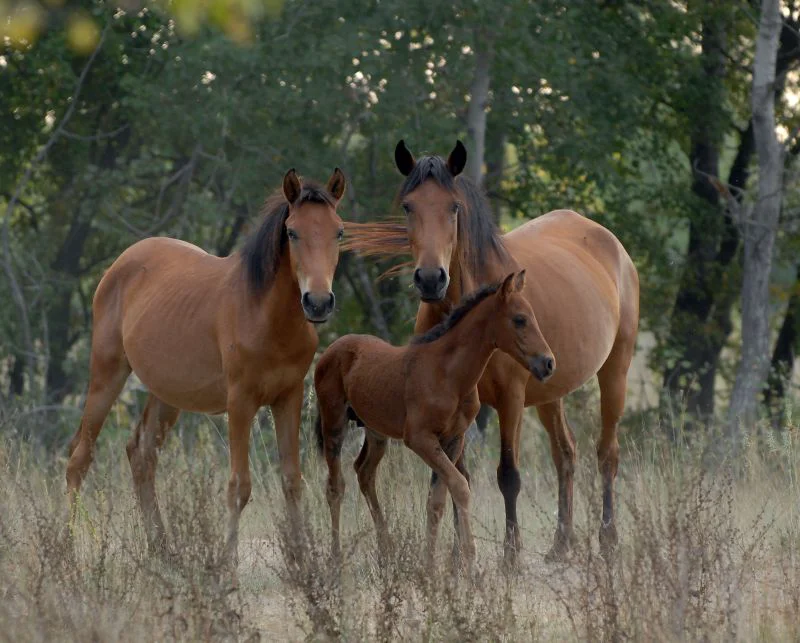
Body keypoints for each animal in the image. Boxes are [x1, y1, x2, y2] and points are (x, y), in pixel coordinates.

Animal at [65, 167, 346, 568]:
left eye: (339, 231)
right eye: (293, 232)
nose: (319, 302)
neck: (266, 315)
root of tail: (119, 265)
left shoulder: (288, 398)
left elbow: (292, 480)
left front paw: (303, 562)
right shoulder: (240, 403)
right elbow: (239, 486)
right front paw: (228, 564)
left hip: (167, 395)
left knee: (141, 456)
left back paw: (163, 552)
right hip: (107, 375)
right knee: (80, 459)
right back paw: (63, 549)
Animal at [314, 270, 556, 568]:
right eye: (520, 319)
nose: (548, 363)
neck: (449, 375)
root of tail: (331, 349)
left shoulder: (453, 439)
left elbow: (437, 500)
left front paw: (430, 565)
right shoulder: (419, 438)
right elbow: (460, 486)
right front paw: (469, 559)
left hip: (375, 432)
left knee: (364, 472)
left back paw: (387, 552)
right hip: (333, 424)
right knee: (335, 486)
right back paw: (336, 558)